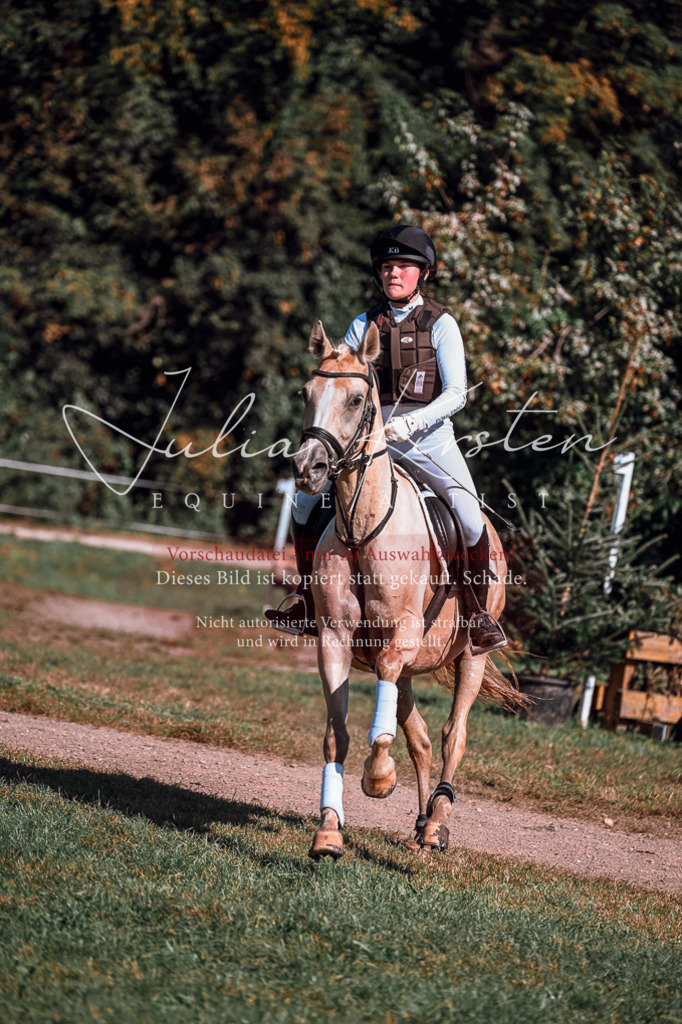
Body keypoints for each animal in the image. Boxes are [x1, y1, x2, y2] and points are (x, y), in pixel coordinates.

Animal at [293, 320, 525, 859]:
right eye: (306, 393)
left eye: (358, 399)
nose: (308, 469)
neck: (363, 528)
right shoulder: (335, 640)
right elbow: (338, 736)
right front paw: (329, 830)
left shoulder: (401, 639)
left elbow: (382, 736)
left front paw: (379, 778)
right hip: (405, 668)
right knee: (419, 737)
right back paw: (421, 823)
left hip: (472, 654)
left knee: (452, 734)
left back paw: (438, 821)